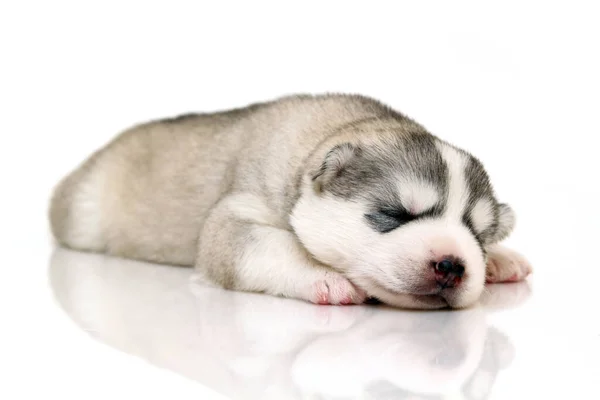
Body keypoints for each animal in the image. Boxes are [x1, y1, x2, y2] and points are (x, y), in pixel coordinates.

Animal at [49, 94, 532, 310]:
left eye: (478, 235)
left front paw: (500, 259)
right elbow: (268, 245)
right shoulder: (234, 217)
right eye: (393, 215)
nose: (452, 264)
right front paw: (324, 276)